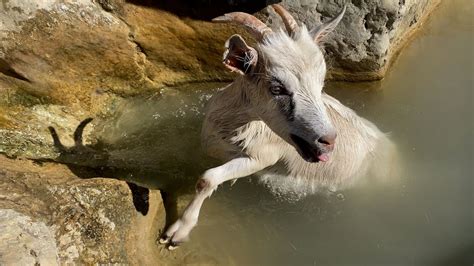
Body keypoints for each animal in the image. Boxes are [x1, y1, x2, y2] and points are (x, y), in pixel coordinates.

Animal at [160, 4, 396, 249]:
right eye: (277, 88)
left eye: (320, 84)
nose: (328, 139)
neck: (233, 129)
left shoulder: (262, 158)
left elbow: (207, 179)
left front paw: (177, 232)